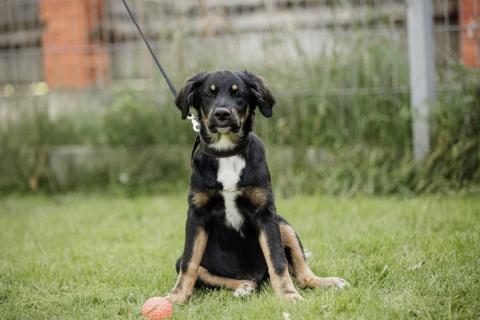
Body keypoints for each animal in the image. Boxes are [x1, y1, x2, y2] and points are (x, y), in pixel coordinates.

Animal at [167, 69, 346, 302]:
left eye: (238, 94)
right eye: (209, 94)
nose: (222, 114)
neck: (227, 153)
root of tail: (257, 276)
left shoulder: (266, 212)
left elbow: (278, 260)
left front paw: (288, 295)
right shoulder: (197, 214)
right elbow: (190, 263)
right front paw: (176, 297)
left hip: (283, 224)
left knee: (301, 272)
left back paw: (326, 281)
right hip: (187, 261)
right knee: (204, 272)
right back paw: (243, 286)